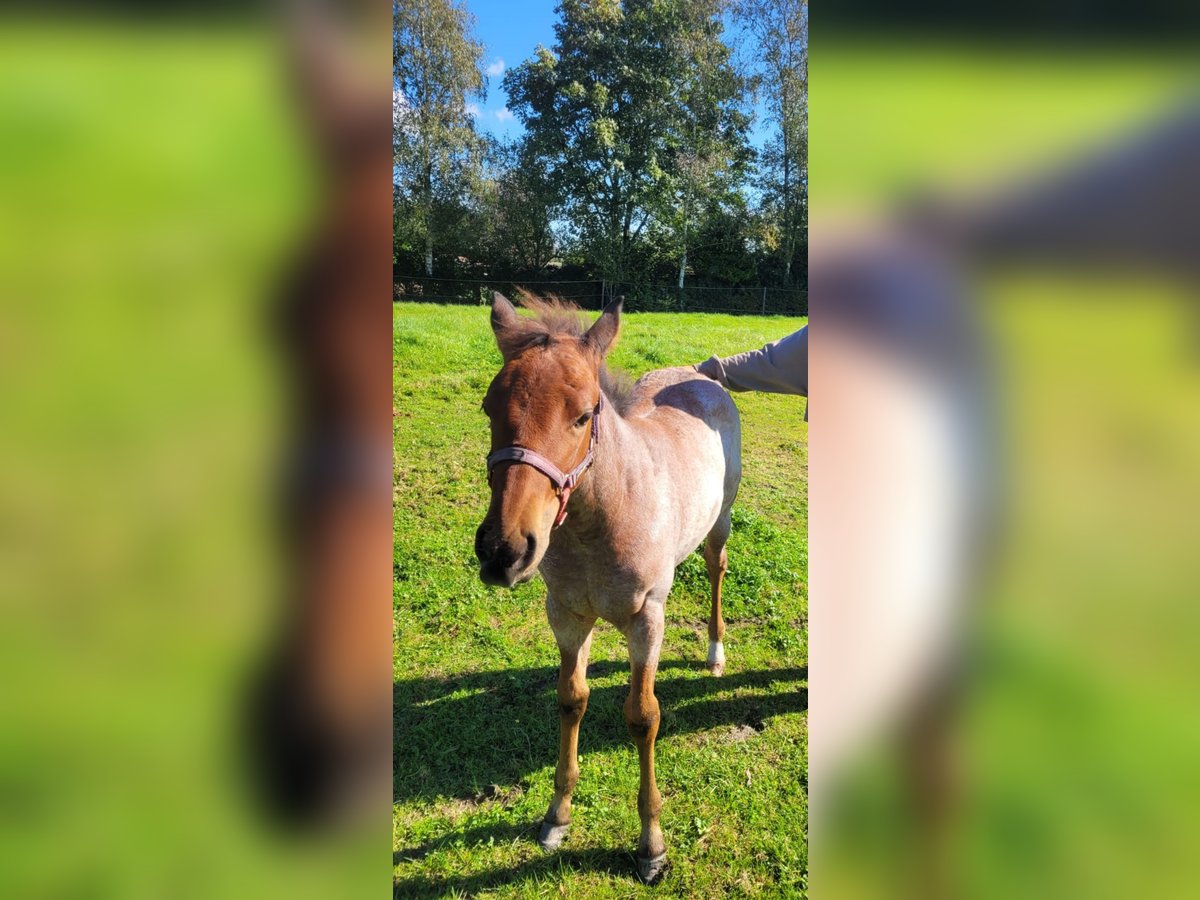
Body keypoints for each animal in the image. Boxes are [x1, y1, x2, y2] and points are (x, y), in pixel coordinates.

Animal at [470, 294, 734, 883]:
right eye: (489, 408)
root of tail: (699, 376)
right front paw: (557, 817)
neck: (599, 522)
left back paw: (714, 650)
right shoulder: (567, 614)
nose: (503, 551)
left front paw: (651, 847)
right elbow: (572, 698)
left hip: (721, 522)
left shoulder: (647, 619)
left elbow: (643, 716)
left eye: (584, 415)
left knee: (716, 568)